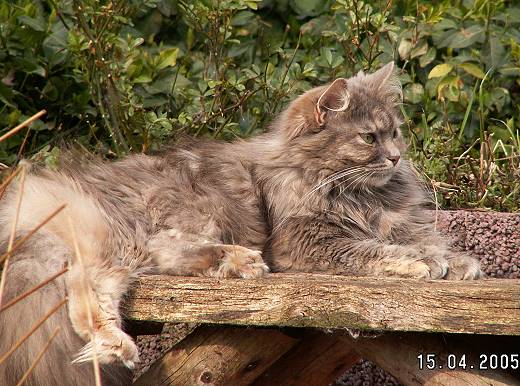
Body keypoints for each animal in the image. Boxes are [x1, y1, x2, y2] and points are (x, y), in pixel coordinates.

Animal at [0, 61, 482, 384]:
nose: (397, 157)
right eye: (369, 138)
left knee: (159, 260)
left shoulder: (396, 221)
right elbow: (375, 250)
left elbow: (425, 240)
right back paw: (123, 343)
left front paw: (458, 264)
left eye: (395, 132)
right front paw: (421, 264)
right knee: (85, 294)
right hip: (130, 237)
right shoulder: (305, 240)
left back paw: (237, 263)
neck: (363, 197)